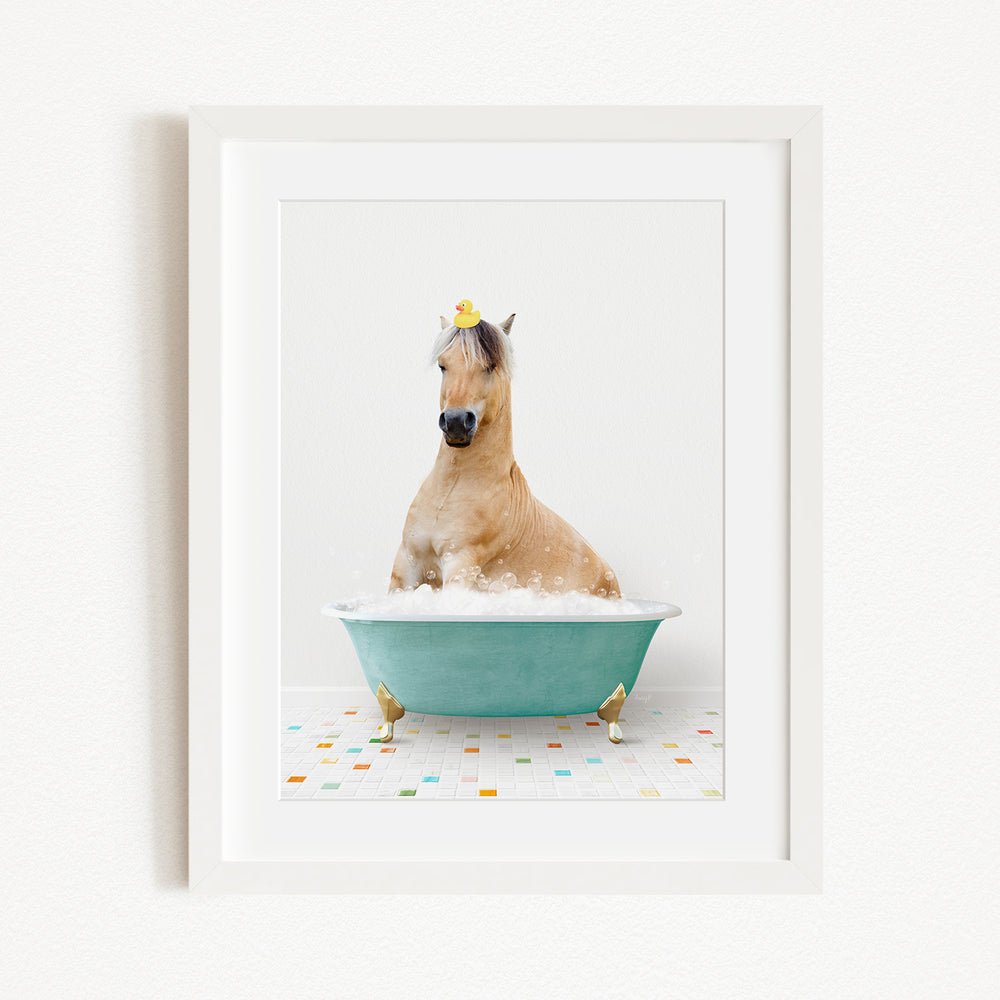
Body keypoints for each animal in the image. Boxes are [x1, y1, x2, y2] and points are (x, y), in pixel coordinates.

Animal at [389, 311, 621, 599]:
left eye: (489, 366)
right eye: (443, 365)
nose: (455, 422)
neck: (450, 490)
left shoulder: (460, 564)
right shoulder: (406, 563)